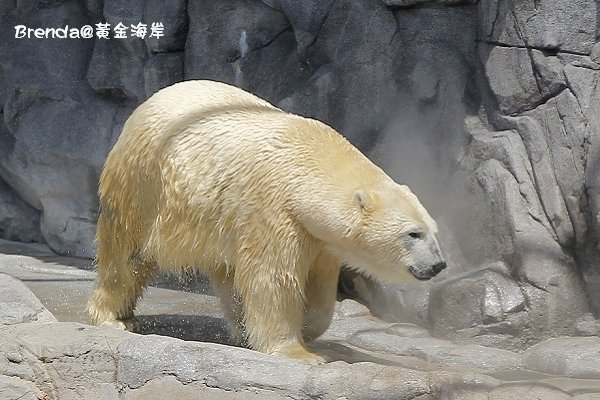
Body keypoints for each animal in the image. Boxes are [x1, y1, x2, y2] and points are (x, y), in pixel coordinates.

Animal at [88, 79, 446, 364]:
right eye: (413, 234)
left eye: (434, 232)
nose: (438, 264)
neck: (309, 161)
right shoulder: (274, 209)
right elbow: (272, 279)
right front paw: (300, 352)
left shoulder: (318, 237)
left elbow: (318, 286)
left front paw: (307, 327)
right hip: (145, 184)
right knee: (127, 255)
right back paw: (114, 318)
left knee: (226, 273)